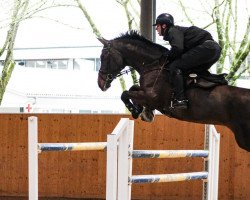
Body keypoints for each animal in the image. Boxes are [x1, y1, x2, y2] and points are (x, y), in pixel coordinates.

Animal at [96, 30, 250, 152]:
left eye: (103, 56)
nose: (100, 84)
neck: (154, 66)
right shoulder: (145, 93)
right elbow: (133, 88)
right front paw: (143, 111)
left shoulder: (151, 97)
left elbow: (125, 93)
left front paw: (134, 110)